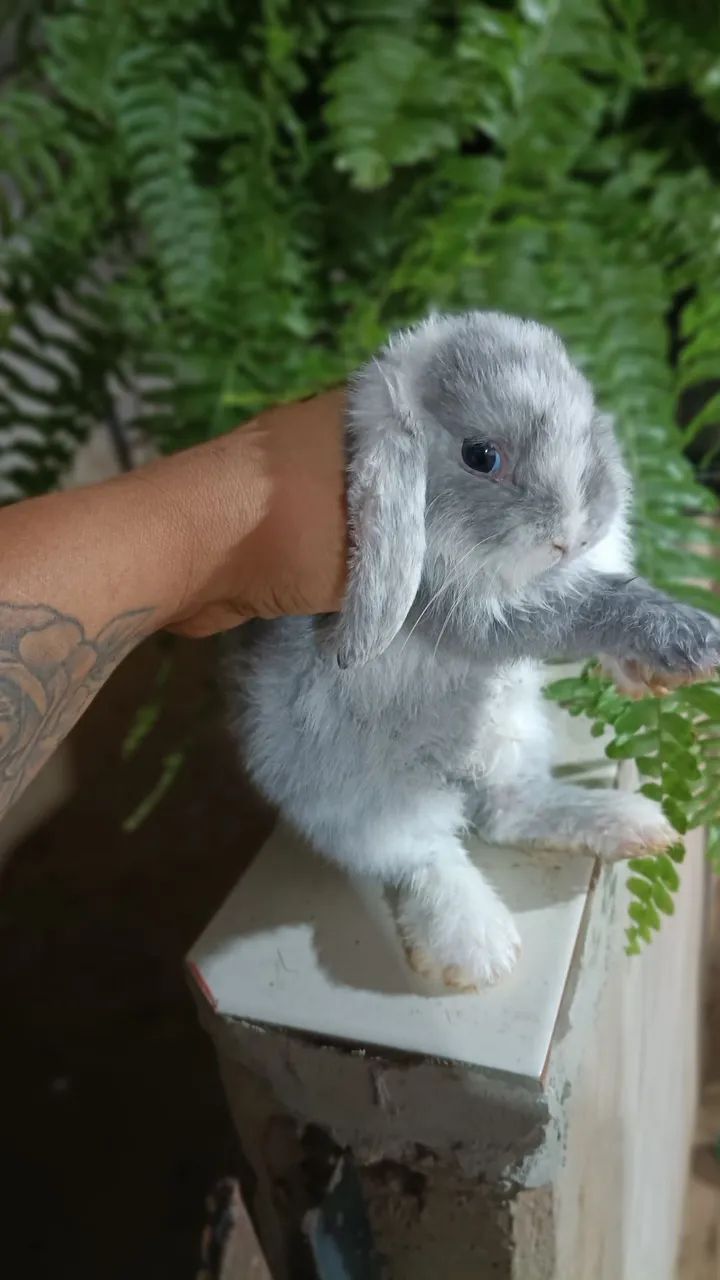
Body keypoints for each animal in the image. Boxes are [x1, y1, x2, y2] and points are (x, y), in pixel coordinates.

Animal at [227, 311, 720, 991]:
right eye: (481, 456)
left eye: (588, 431)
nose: (573, 537)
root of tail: (456, 776)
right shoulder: (474, 616)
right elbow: (584, 608)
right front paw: (692, 642)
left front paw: (645, 677)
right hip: (361, 805)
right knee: (424, 854)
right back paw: (476, 948)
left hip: (517, 733)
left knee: (506, 814)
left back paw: (630, 824)